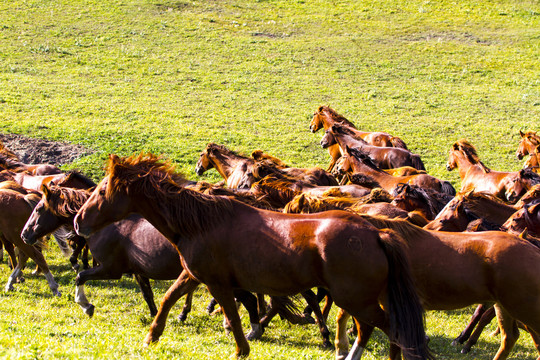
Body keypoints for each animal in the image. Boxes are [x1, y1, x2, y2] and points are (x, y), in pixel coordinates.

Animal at [75, 153, 430, 360]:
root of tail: (376, 234)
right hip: (358, 300)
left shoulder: (217, 283)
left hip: (355, 298)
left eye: (102, 190)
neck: (200, 223)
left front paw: (242, 346)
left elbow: (233, 316)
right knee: (370, 329)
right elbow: (168, 300)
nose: (78, 221)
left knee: (390, 328)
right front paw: (152, 337)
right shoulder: (193, 275)